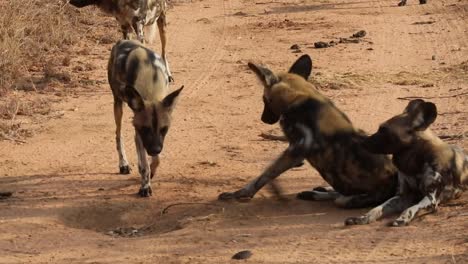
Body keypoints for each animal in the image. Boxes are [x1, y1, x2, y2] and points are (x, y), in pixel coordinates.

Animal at [109, 38, 184, 196]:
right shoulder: (140, 132)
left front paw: (151, 172)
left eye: (164, 129)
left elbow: (156, 160)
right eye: (145, 128)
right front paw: (145, 186)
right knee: (118, 134)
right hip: (118, 105)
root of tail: (123, 40)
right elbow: (145, 165)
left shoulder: (154, 139)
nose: (154, 149)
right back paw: (123, 163)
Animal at [219, 55, 398, 208]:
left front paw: (241, 193)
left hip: (350, 199)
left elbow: (266, 174)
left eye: (264, 100)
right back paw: (319, 191)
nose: (264, 119)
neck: (299, 96)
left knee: (342, 198)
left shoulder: (296, 149)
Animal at [346, 99, 466, 227]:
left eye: (384, 130)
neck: (414, 165)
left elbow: (412, 208)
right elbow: (377, 208)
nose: (362, 141)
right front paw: (362, 218)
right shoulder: (403, 196)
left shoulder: (431, 199)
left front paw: (402, 219)